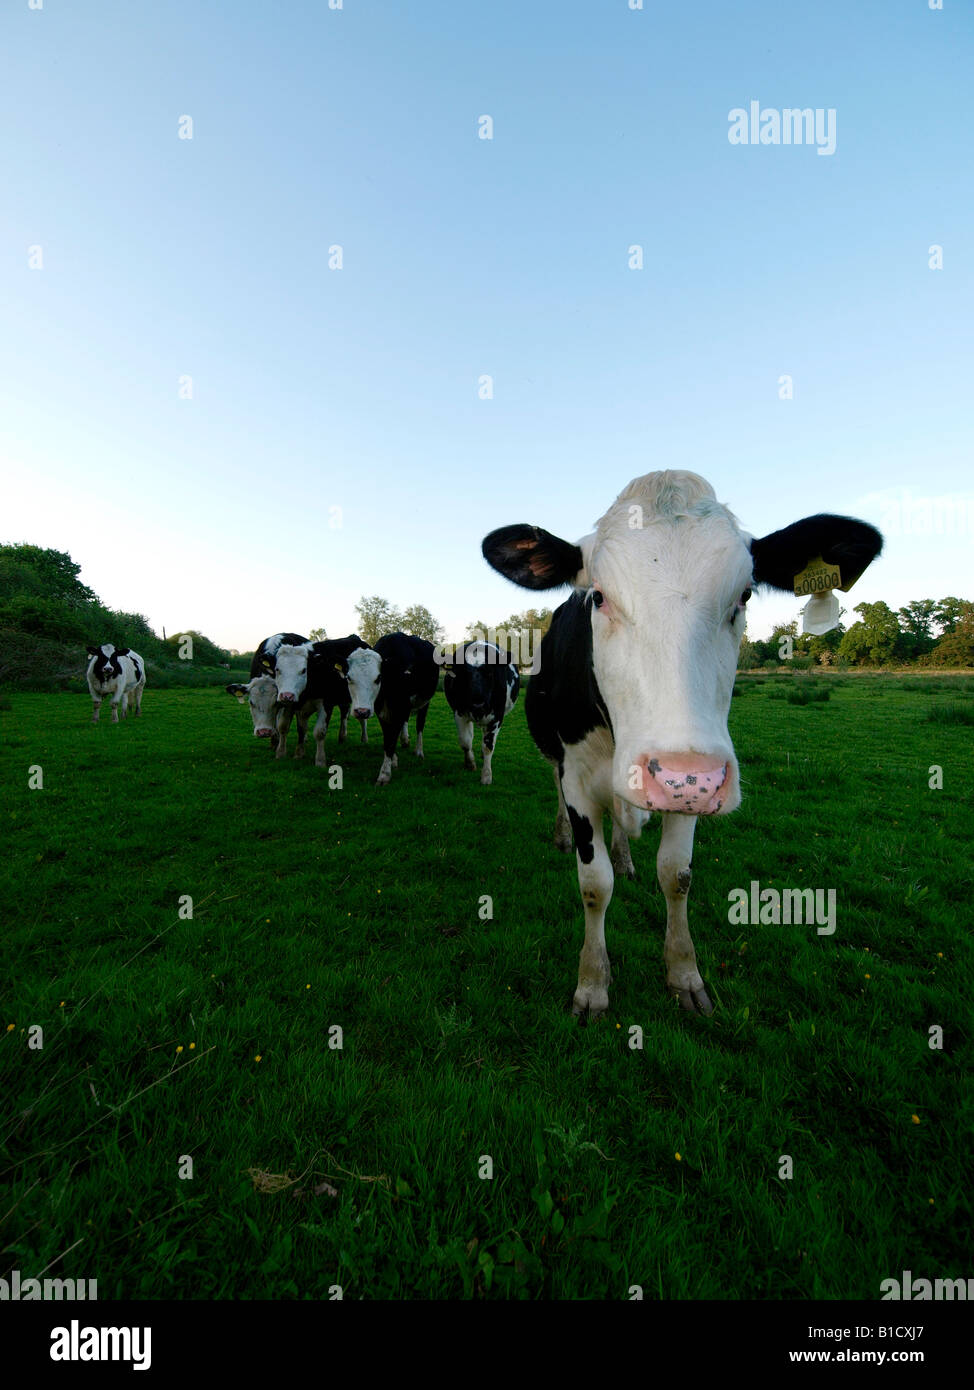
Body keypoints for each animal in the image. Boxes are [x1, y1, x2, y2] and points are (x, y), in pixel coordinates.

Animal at [344, 633, 438, 785]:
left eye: (378, 678)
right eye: (348, 677)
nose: (362, 711)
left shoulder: (401, 707)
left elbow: (391, 738)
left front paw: (384, 774)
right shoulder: (381, 709)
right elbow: (388, 735)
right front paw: (393, 759)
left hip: (425, 701)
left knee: (420, 725)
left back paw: (419, 751)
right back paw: (404, 740)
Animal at [440, 640, 520, 785]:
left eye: (490, 673)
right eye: (463, 673)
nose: (478, 703)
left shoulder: (497, 717)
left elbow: (488, 746)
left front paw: (486, 775)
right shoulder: (459, 713)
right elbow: (465, 741)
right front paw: (470, 764)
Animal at [482, 470, 882, 1019]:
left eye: (745, 596)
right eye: (599, 597)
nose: (676, 774)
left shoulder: (695, 784)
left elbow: (676, 875)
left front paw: (684, 974)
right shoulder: (580, 780)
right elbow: (594, 885)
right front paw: (593, 983)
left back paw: (626, 856)